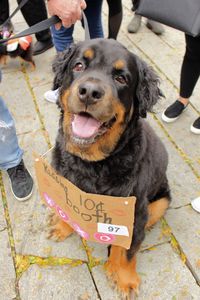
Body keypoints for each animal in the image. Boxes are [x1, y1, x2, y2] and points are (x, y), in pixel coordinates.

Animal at [48, 38, 170, 296]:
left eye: (121, 78)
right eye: (79, 65)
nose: (89, 92)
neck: (91, 163)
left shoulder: (134, 212)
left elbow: (128, 252)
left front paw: (125, 279)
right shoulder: (66, 186)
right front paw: (62, 225)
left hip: (161, 199)